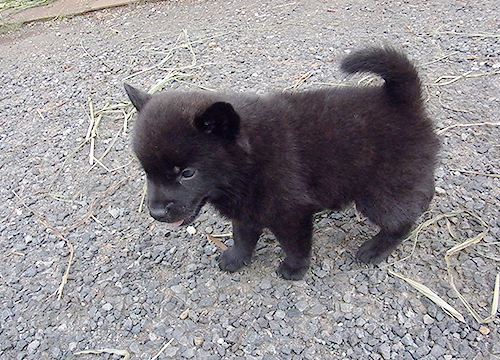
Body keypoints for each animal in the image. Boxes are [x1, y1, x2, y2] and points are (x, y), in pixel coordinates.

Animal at [125, 46, 438, 280]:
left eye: (187, 173)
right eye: (147, 172)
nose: (155, 213)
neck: (248, 163)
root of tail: (402, 101)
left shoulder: (291, 214)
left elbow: (295, 246)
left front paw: (294, 269)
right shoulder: (246, 210)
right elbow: (242, 236)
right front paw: (236, 259)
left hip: (380, 192)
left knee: (401, 222)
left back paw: (375, 250)